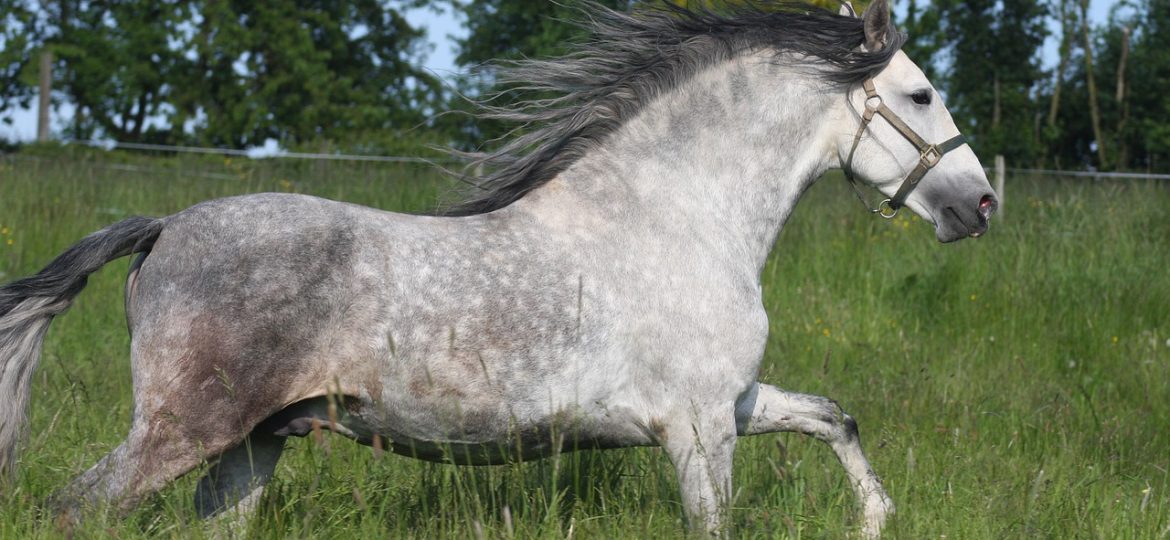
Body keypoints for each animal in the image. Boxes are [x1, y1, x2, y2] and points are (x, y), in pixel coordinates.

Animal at [0, 2, 996, 537]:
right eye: (921, 94)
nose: (981, 204)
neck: (679, 216)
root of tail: (164, 230)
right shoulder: (699, 430)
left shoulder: (731, 404)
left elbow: (833, 416)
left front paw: (877, 518)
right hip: (183, 431)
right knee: (72, 509)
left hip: (252, 445)